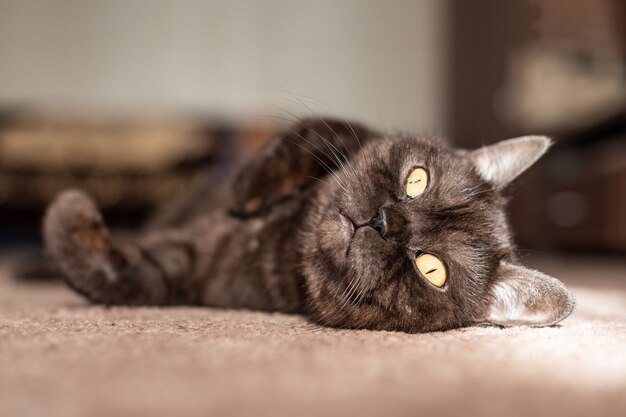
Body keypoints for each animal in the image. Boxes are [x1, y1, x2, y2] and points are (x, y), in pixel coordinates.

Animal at [41, 117, 572, 332]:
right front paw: (248, 190)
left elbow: (117, 275)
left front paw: (71, 210)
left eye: (432, 269)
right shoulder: (346, 130)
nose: (384, 220)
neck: (289, 239)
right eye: (416, 180)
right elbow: (313, 132)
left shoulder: (189, 270)